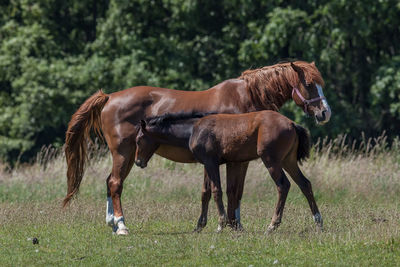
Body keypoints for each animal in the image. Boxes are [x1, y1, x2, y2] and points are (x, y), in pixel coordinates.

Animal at [134, 110, 322, 232]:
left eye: (138, 140)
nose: (138, 162)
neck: (194, 129)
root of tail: (291, 123)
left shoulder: (212, 163)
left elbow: (217, 191)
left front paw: (221, 223)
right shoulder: (208, 164)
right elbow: (206, 192)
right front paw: (199, 226)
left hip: (271, 161)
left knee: (283, 185)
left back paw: (272, 225)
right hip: (288, 161)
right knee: (305, 184)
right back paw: (319, 222)